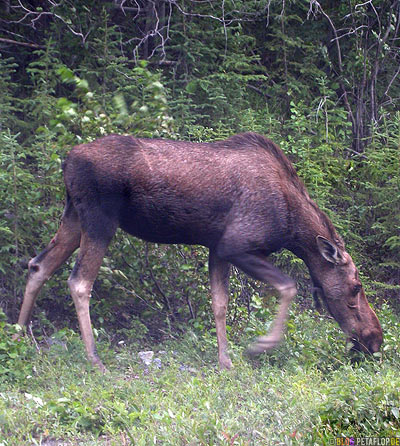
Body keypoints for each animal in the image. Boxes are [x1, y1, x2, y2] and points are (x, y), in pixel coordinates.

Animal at [16, 132, 384, 370]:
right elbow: (288, 286)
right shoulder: (238, 245)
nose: (375, 339)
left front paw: (225, 361)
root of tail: (67, 159)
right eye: (356, 287)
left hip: (74, 215)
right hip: (99, 219)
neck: (292, 224)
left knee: (38, 265)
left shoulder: (217, 249)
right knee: (79, 282)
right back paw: (94, 359)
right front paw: (261, 345)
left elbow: (219, 305)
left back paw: (19, 337)